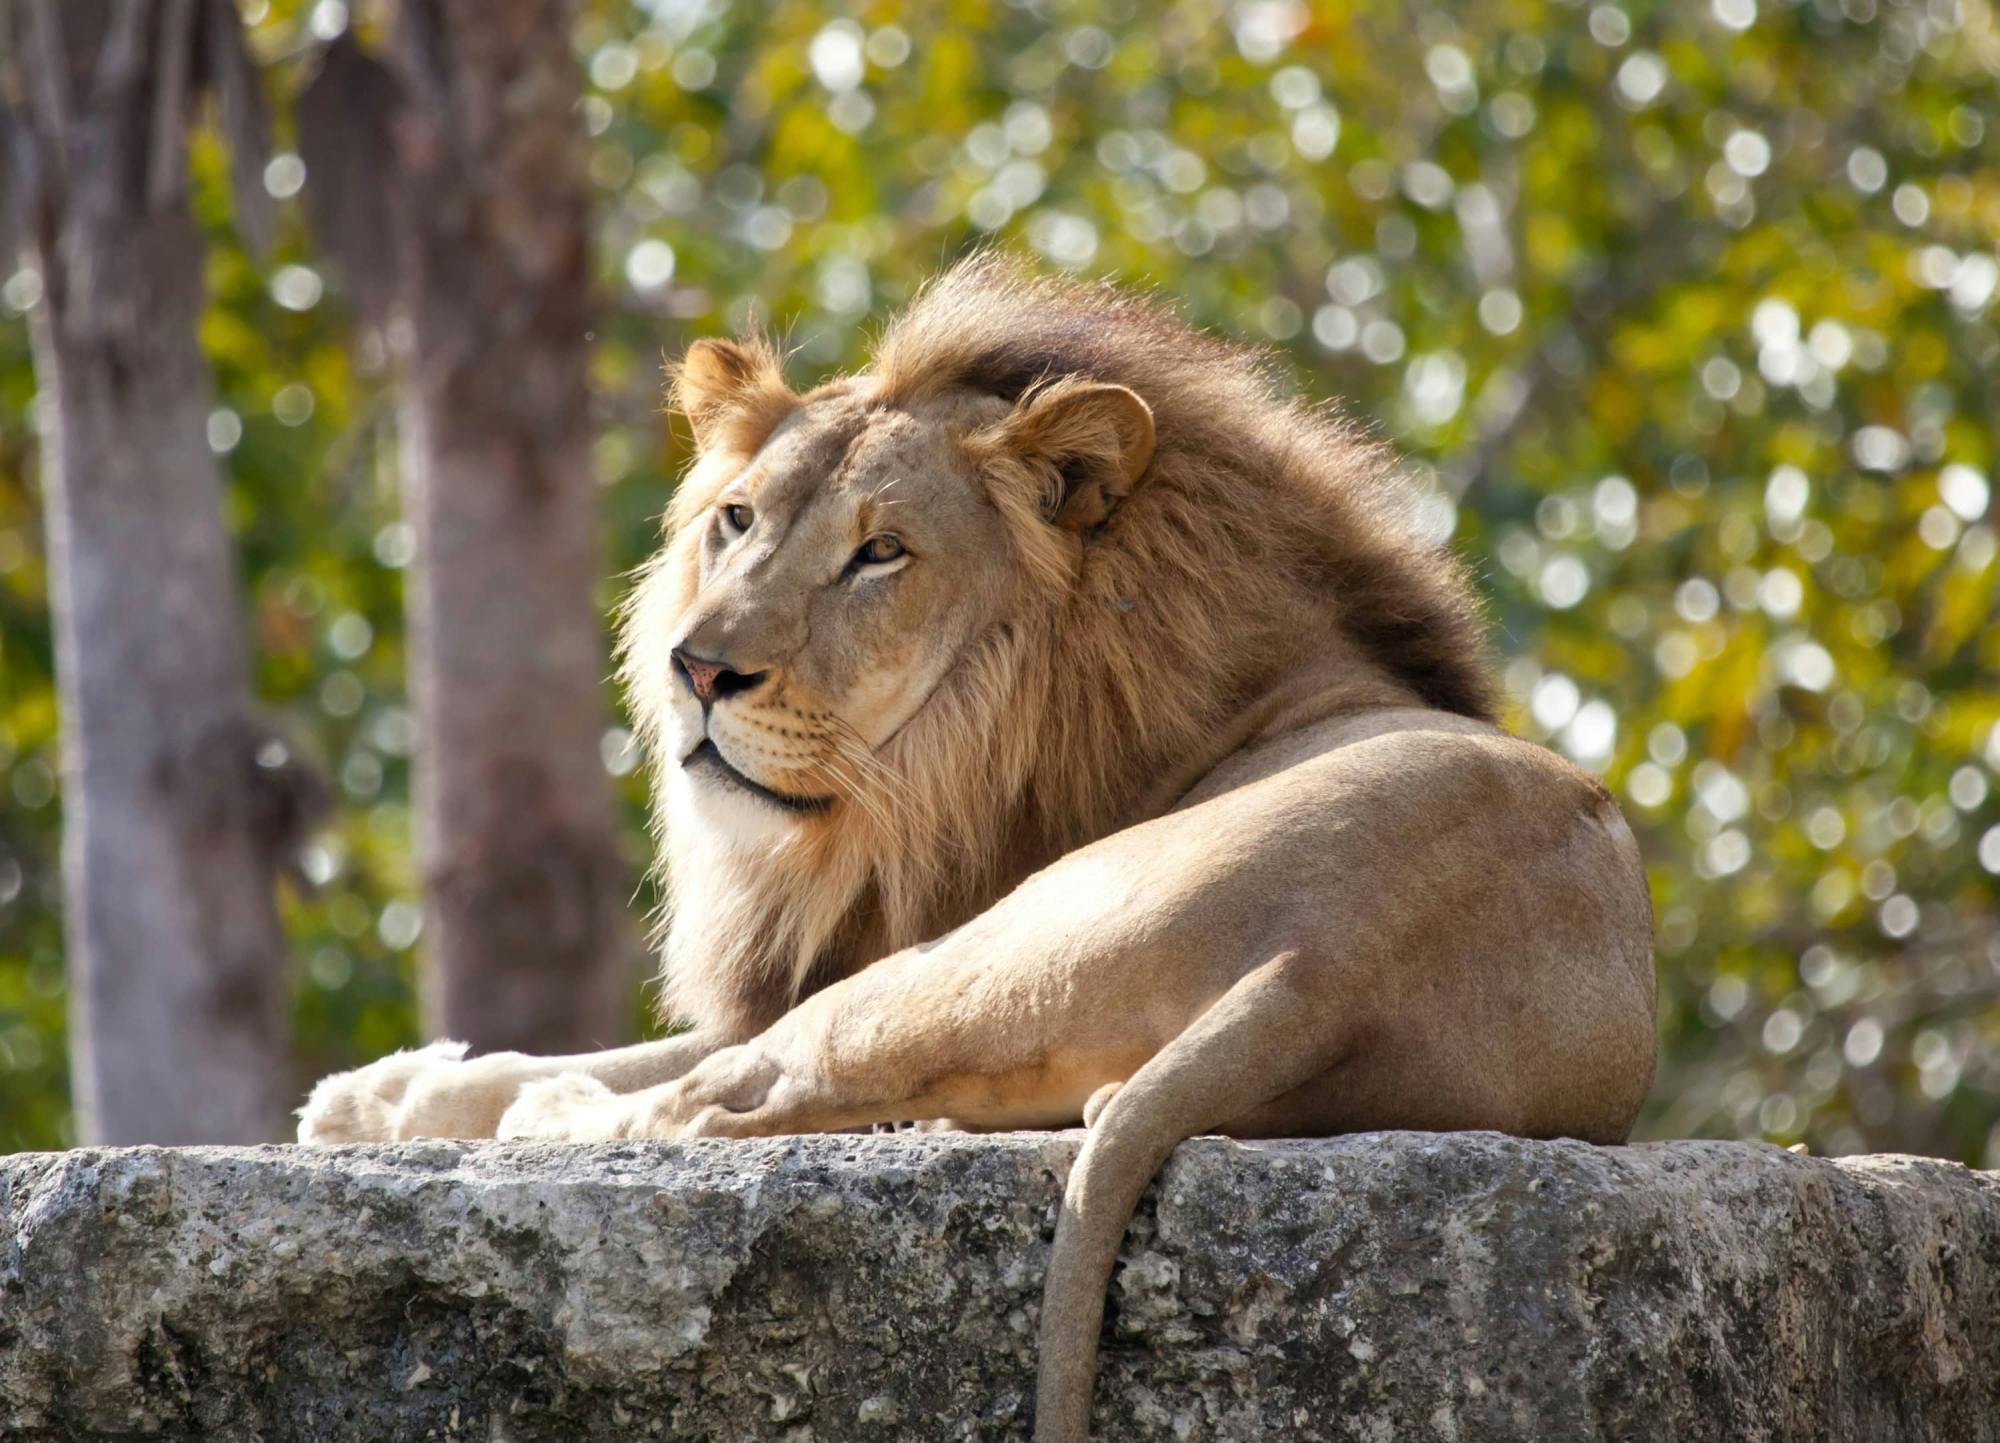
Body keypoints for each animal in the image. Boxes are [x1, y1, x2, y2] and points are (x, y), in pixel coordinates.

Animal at [296, 252, 1664, 1431]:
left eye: (877, 553)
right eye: (735, 520)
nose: (697, 669)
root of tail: (1325, 969)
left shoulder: (865, 943)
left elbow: (652, 1059)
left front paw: (396, 1098)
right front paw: (371, 1096)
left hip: (978, 947)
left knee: (719, 1106)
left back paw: (558, 1124)